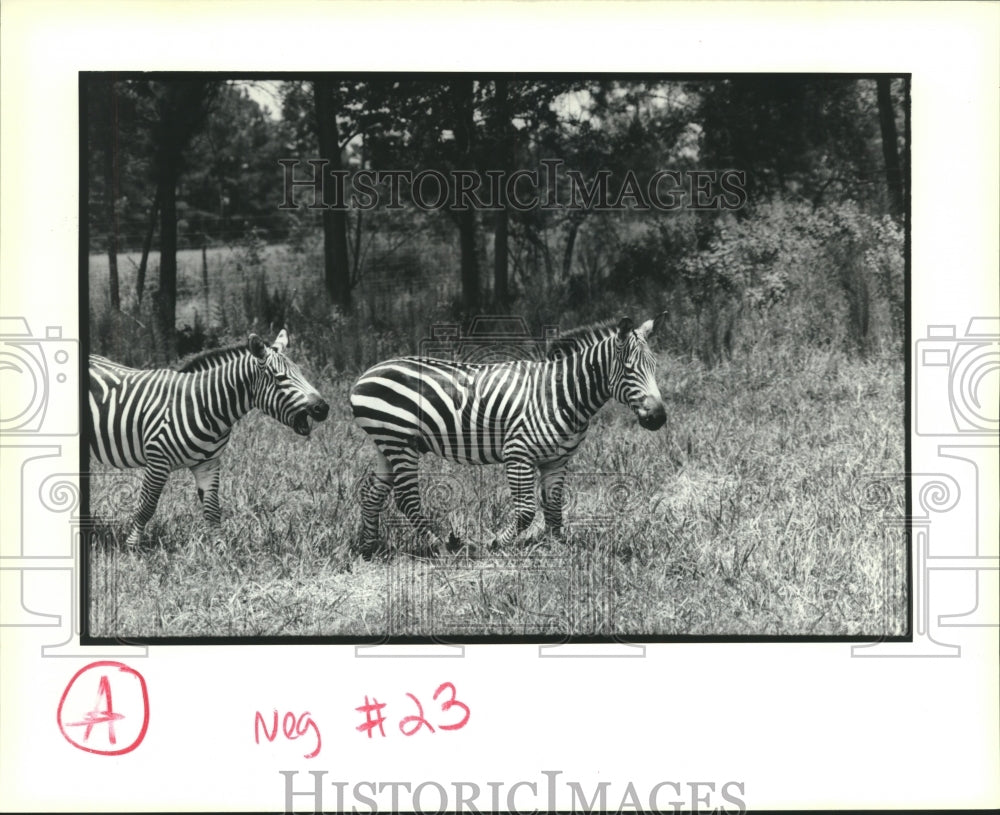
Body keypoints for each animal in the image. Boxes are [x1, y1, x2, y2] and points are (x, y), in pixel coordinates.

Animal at [88, 332, 330, 548]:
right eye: (281, 378)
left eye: (301, 372)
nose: (323, 408)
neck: (206, 404)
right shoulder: (158, 460)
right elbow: (146, 507)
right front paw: (132, 548)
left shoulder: (208, 463)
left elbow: (212, 510)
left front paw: (220, 551)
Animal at [348, 310, 668, 556]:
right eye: (629, 369)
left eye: (655, 367)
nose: (659, 418)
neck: (561, 395)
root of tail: (365, 375)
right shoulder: (518, 454)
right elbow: (526, 511)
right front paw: (495, 544)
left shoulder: (557, 460)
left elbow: (554, 507)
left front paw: (559, 548)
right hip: (399, 441)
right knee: (406, 499)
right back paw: (440, 546)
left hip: (386, 443)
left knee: (371, 493)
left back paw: (369, 547)